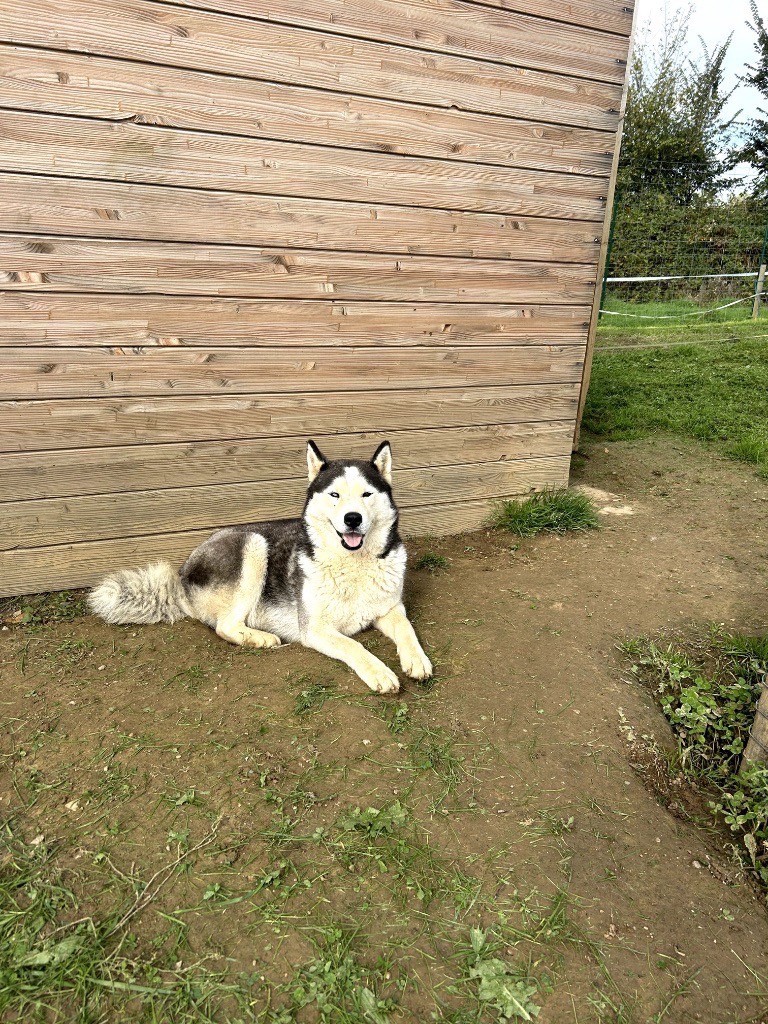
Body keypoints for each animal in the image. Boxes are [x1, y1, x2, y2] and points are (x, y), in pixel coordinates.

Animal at [88, 442, 434, 696]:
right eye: (335, 494)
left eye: (367, 494)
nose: (352, 518)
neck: (353, 563)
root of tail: (181, 574)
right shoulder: (315, 628)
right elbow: (355, 645)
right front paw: (380, 671)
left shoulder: (390, 608)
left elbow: (407, 629)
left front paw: (416, 659)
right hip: (253, 545)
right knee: (225, 627)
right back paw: (260, 638)